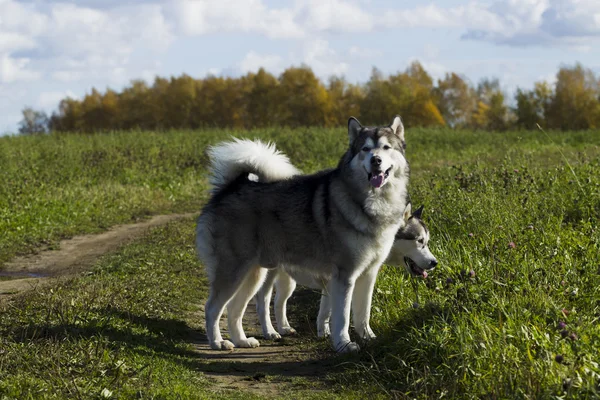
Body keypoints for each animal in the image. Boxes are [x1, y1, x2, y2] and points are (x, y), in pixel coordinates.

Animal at [197, 116, 412, 354]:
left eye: (386, 147)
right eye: (365, 149)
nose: (376, 160)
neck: (373, 201)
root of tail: (231, 187)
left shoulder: (368, 274)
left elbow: (363, 313)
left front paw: (369, 338)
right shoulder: (344, 275)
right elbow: (342, 316)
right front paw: (343, 344)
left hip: (254, 274)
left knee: (235, 309)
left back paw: (242, 340)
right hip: (233, 271)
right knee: (212, 308)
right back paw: (218, 342)